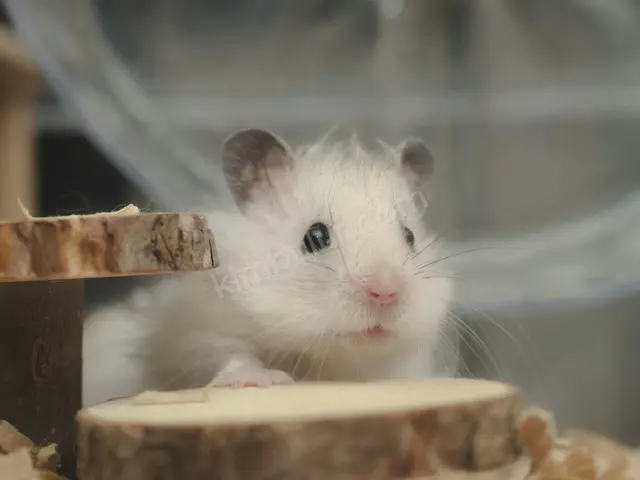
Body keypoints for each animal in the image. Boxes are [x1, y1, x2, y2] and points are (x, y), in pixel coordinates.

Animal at [82, 129, 454, 406]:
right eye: (315, 236)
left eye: (409, 236)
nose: (385, 291)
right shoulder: (188, 335)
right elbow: (225, 353)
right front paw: (265, 380)